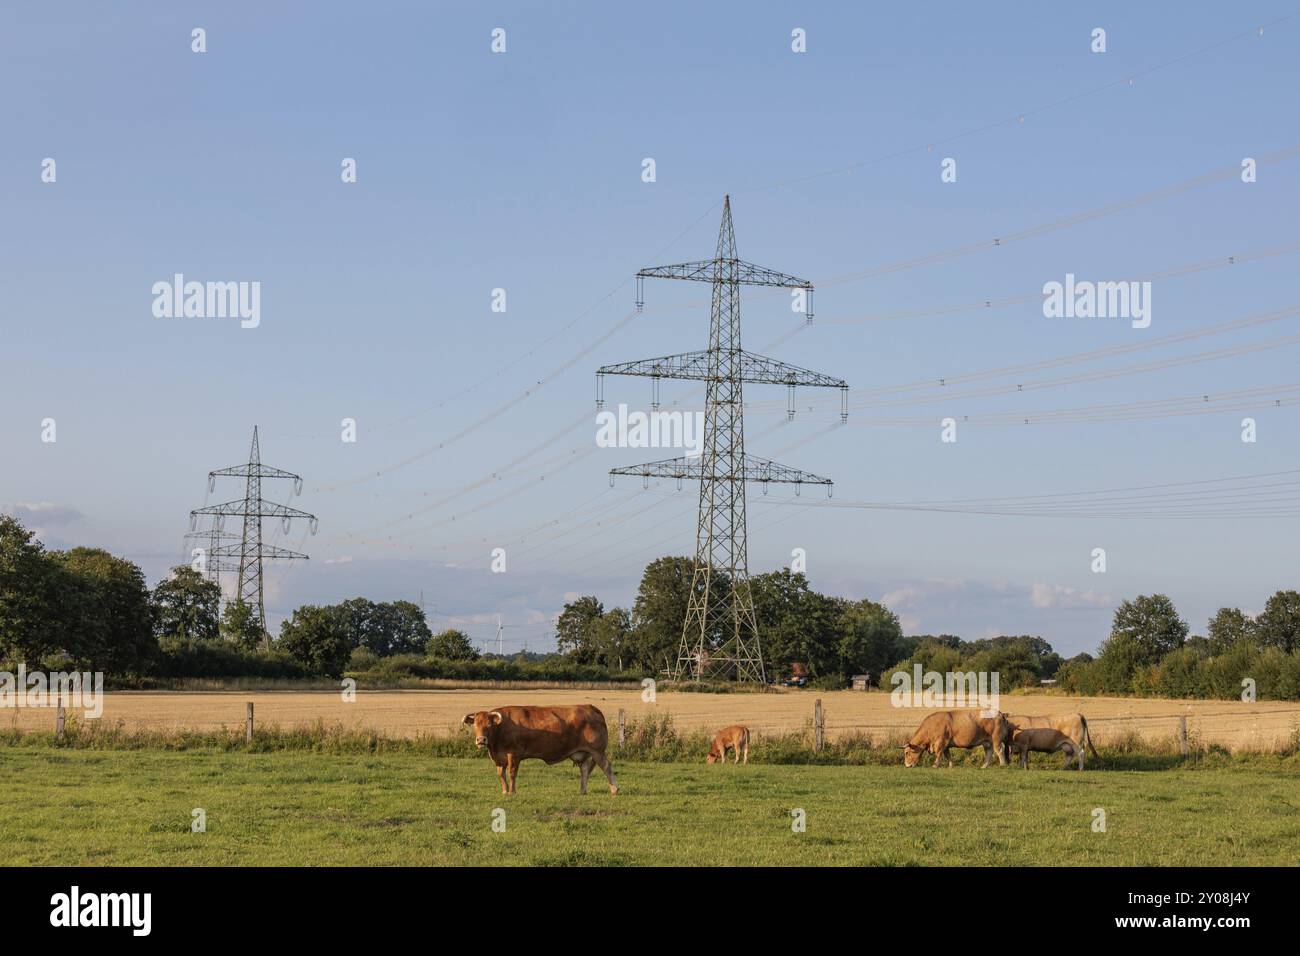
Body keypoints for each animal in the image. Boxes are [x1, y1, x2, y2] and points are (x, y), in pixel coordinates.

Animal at [462, 707, 618, 796]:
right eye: (475, 725)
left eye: (489, 724)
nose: (481, 740)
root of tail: (591, 708)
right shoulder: (499, 758)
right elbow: (501, 774)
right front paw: (505, 791)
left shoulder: (514, 754)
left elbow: (512, 773)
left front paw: (512, 792)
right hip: (585, 753)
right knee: (585, 770)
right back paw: (582, 791)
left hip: (597, 751)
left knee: (606, 766)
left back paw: (614, 790)